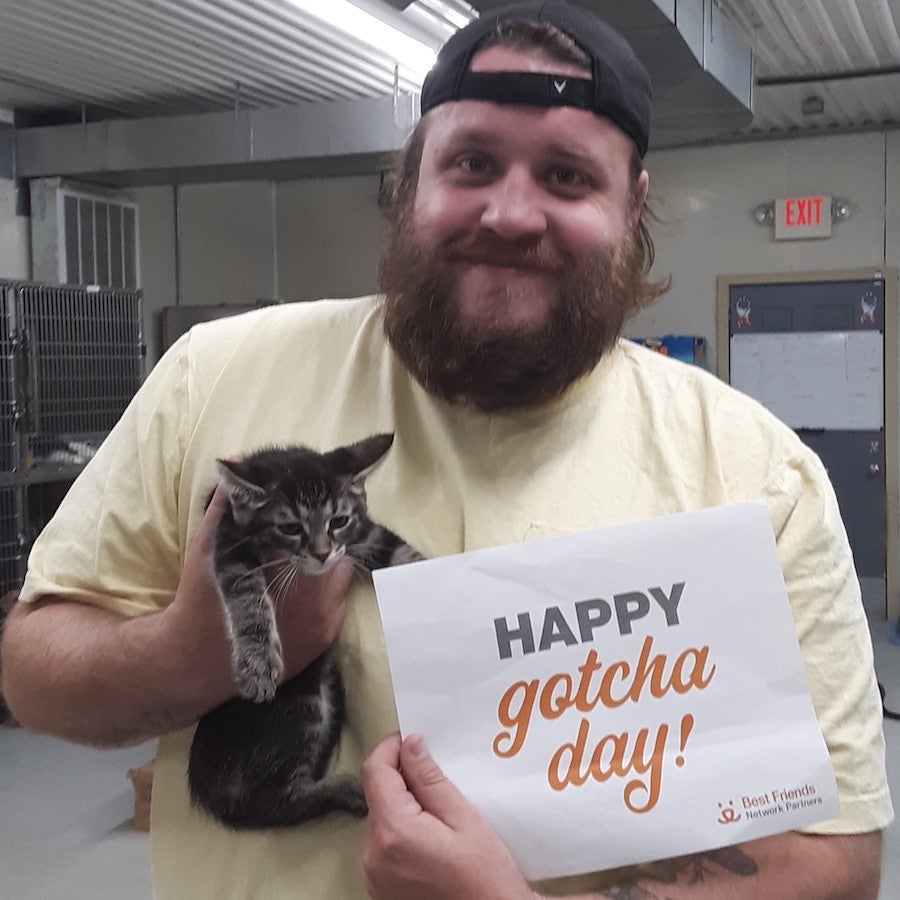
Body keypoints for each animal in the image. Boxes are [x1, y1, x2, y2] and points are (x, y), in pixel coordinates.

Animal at [190, 434, 422, 828]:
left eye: (338, 521)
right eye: (290, 528)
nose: (323, 553)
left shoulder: (363, 533)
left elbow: (402, 552)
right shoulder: (227, 538)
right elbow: (245, 592)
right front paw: (258, 663)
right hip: (299, 705)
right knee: (274, 803)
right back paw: (345, 791)